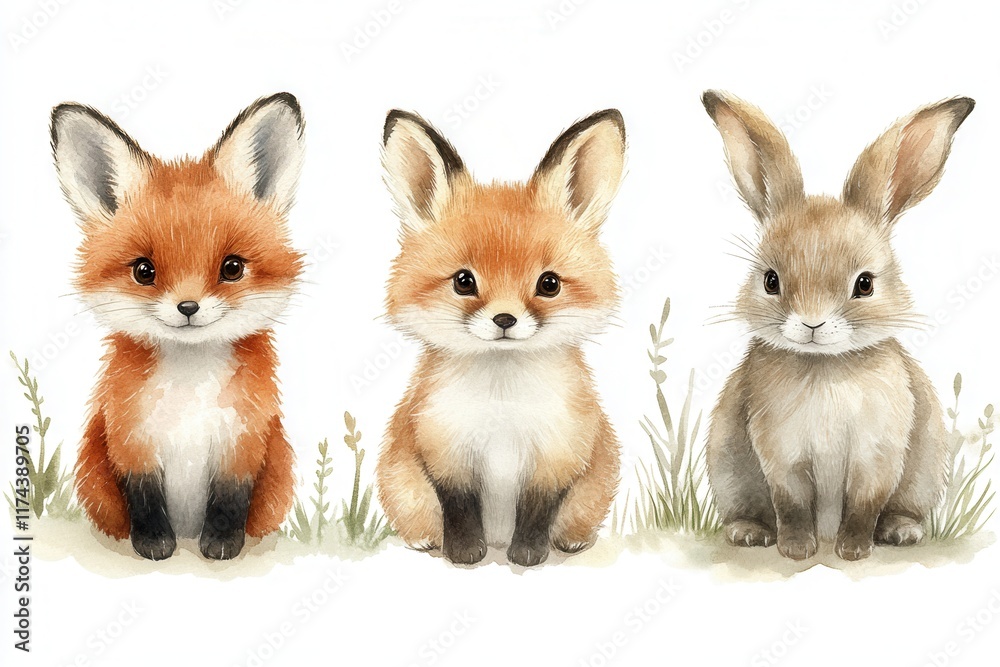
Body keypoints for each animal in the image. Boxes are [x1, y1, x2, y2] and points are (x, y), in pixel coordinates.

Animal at [51, 93, 306, 560]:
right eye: (144, 271)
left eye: (232, 267)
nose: (188, 306)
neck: (191, 391)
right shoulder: (130, 440)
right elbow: (145, 499)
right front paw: (154, 544)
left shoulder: (242, 442)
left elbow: (229, 501)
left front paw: (221, 545)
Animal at [375, 109, 626, 567]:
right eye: (463, 281)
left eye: (549, 284)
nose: (505, 319)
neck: (502, 404)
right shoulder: (445, 449)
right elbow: (458, 506)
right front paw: (464, 553)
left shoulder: (559, 452)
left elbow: (538, 508)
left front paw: (528, 554)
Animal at [701, 90, 974, 560]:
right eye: (771, 281)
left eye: (864, 284)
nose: (812, 323)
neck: (825, 366)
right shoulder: (782, 455)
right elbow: (792, 504)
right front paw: (797, 550)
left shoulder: (877, 455)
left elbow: (864, 503)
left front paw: (852, 549)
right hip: (730, 474)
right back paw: (749, 533)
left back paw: (901, 532)